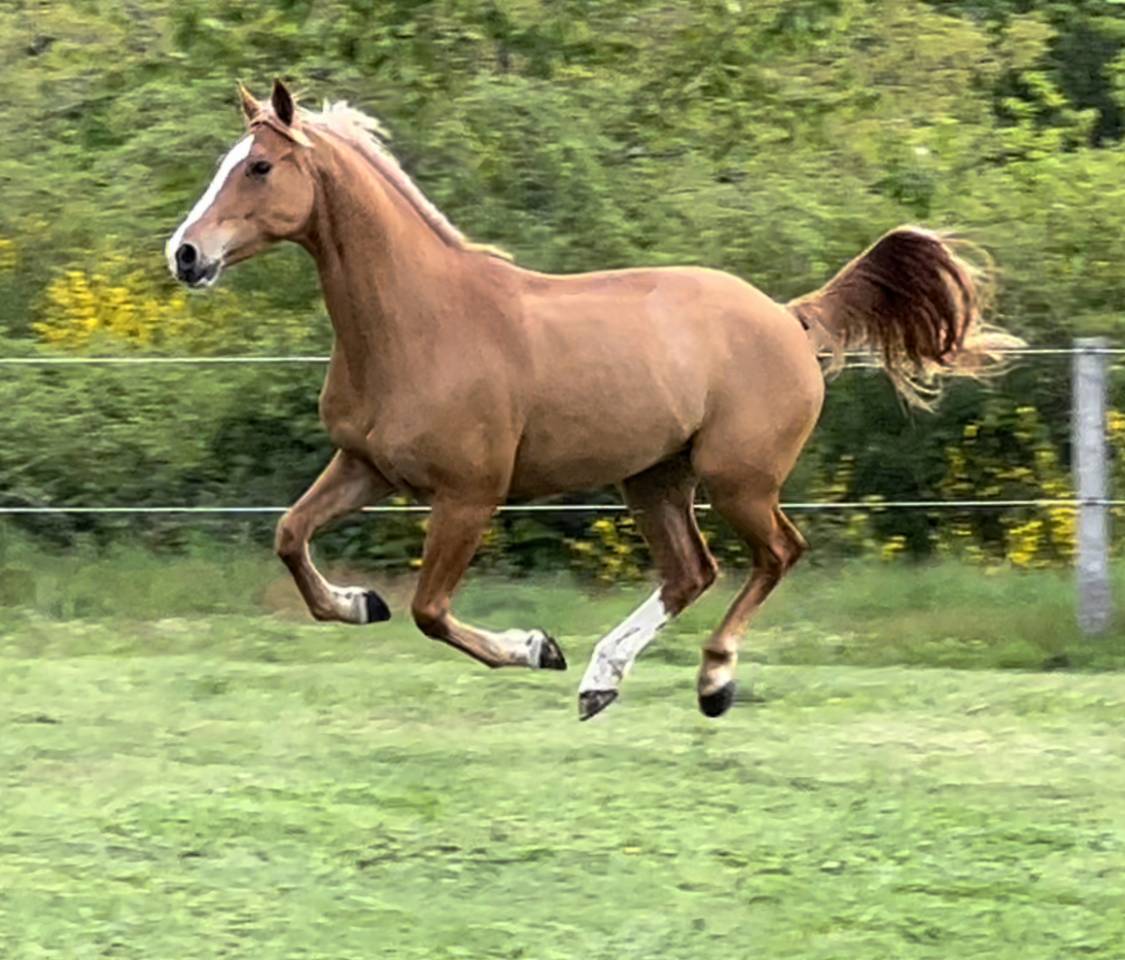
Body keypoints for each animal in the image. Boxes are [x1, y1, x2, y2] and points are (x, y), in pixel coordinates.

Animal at [167, 80, 1022, 720]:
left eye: (259, 167)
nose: (185, 254)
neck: (419, 322)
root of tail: (788, 316)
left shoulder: (469, 494)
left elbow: (431, 612)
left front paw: (537, 647)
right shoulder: (364, 466)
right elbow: (290, 538)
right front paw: (359, 603)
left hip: (736, 479)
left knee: (777, 554)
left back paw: (711, 681)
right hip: (654, 477)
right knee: (690, 572)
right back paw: (600, 683)